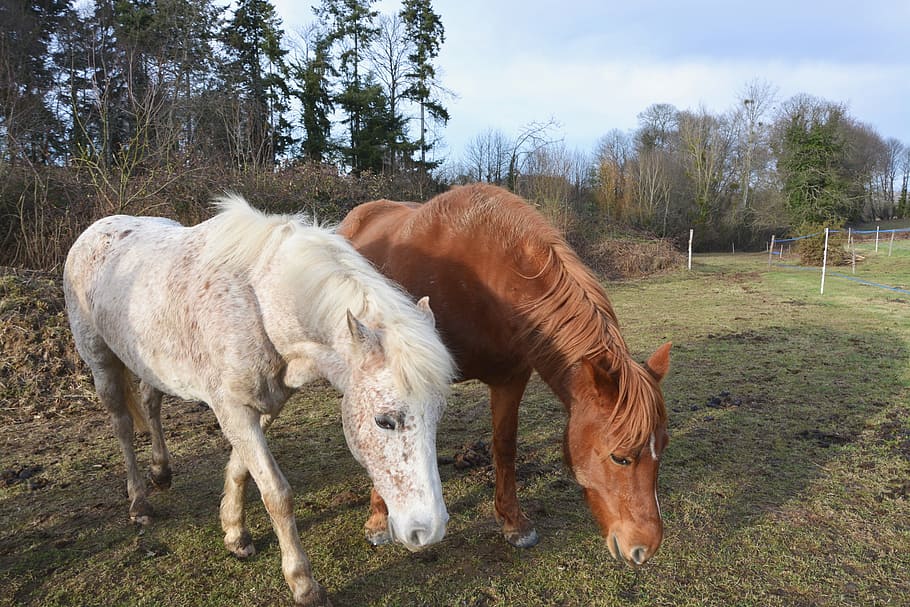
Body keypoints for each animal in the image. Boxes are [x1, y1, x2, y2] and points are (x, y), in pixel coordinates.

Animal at [63, 196, 456, 607]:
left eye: (437, 416)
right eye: (384, 421)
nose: (428, 530)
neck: (259, 304)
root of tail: (96, 230)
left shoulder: (264, 403)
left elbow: (241, 469)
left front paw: (235, 533)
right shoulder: (233, 409)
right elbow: (276, 493)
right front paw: (303, 584)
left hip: (149, 362)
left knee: (150, 402)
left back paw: (161, 472)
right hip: (102, 361)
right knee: (122, 425)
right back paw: (139, 502)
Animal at [338, 183, 672, 568]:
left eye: (663, 446)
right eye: (620, 457)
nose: (644, 548)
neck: (484, 280)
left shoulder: (511, 378)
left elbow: (505, 445)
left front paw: (514, 522)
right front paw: (379, 519)